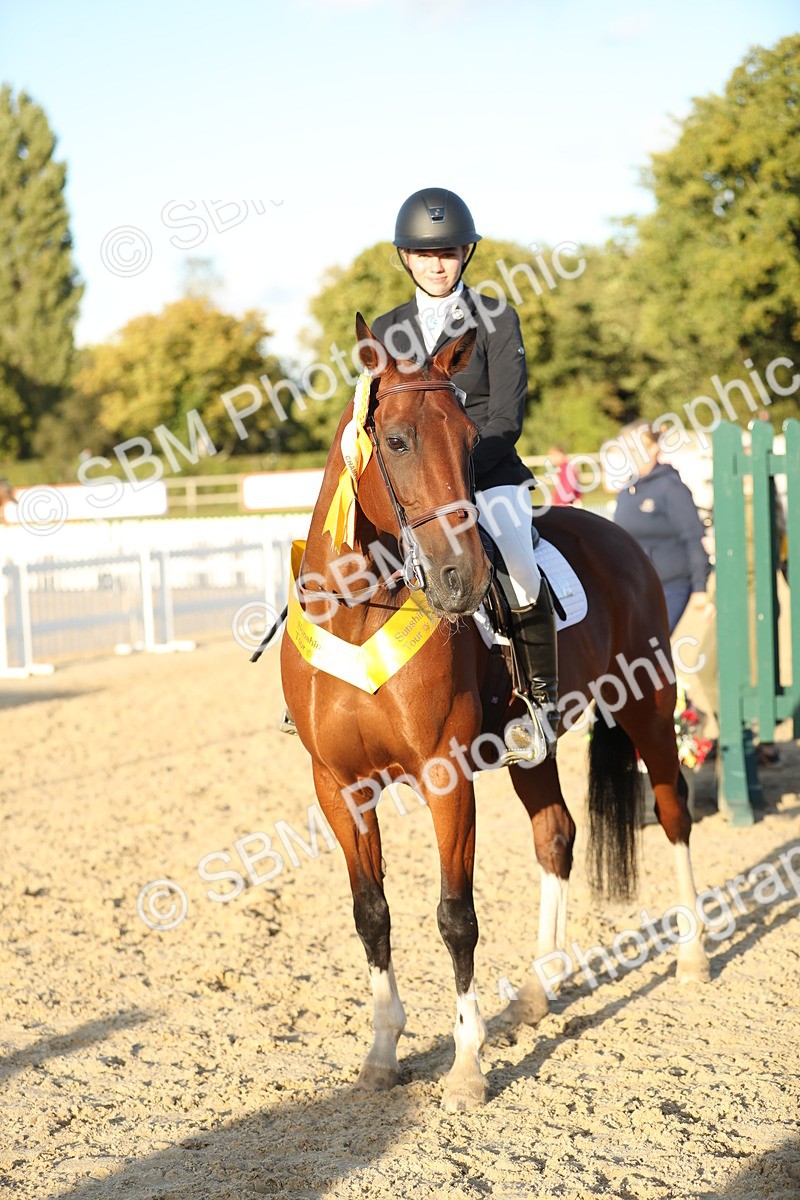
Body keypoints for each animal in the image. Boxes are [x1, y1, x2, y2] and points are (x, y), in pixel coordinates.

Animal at [279, 314, 710, 1113]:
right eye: (396, 441)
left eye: (469, 438)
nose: (462, 579)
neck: (359, 613)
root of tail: (618, 532)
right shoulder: (338, 787)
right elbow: (371, 912)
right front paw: (382, 1054)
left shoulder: (445, 778)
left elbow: (456, 916)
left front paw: (466, 1068)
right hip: (532, 749)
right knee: (557, 836)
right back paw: (538, 993)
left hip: (649, 703)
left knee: (673, 812)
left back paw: (694, 954)